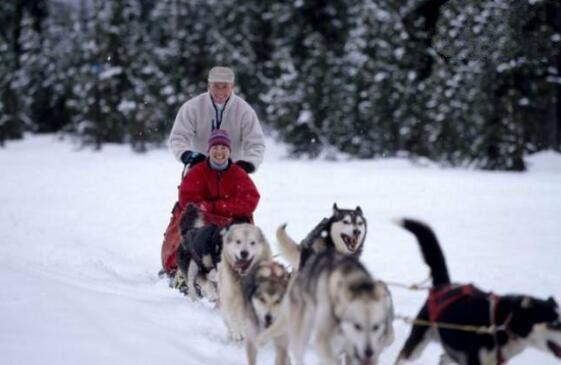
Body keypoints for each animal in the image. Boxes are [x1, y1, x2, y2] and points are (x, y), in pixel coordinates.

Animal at [258, 250, 394, 364]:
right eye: (357, 326)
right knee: (298, 353)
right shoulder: (322, 339)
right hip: (303, 329)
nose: (368, 352)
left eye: (376, 326)